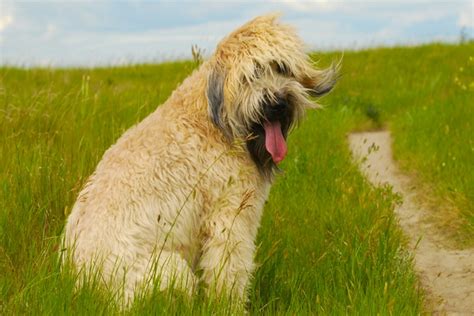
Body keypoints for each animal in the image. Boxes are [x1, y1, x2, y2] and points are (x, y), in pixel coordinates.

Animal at [62, 14, 336, 304]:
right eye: (251, 76)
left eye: (281, 68)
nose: (278, 103)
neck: (214, 120)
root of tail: (82, 288)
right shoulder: (229, 216)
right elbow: (229, 270)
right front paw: (229, 306)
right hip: (170, 269)